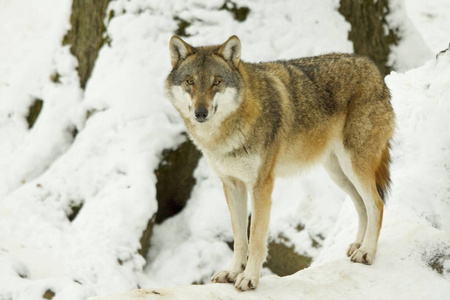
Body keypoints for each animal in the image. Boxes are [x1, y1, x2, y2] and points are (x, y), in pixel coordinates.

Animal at [164, 35, 394, 290]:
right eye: (190, 81)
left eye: (217, 82)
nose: (200, 113)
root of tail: (372, 68)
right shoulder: (232, 185)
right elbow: (239, 238)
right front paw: (232, 273)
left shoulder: (261, 186)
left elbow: (255, 238)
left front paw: (249, 278)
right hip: (338, 173)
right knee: (361, 205)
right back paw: (357, 246)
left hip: (355, 167)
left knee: (376, 204)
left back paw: (366, 252)